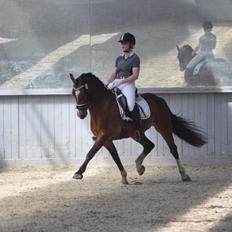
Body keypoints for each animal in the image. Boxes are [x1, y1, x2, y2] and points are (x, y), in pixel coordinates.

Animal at [69, 72, 207, 185]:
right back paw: (139, 167)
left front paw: (78, 173)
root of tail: (159, 100)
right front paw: (124, 177)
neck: (102, 107)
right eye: (73, 93)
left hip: (163, 127)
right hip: (136, 134)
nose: (81, 114)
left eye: (84, 92)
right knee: (149, 145)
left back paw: (184, 175)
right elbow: (115, 156)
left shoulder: (104, 136)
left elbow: (90, 153)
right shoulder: (105, 139)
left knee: (173, 149)